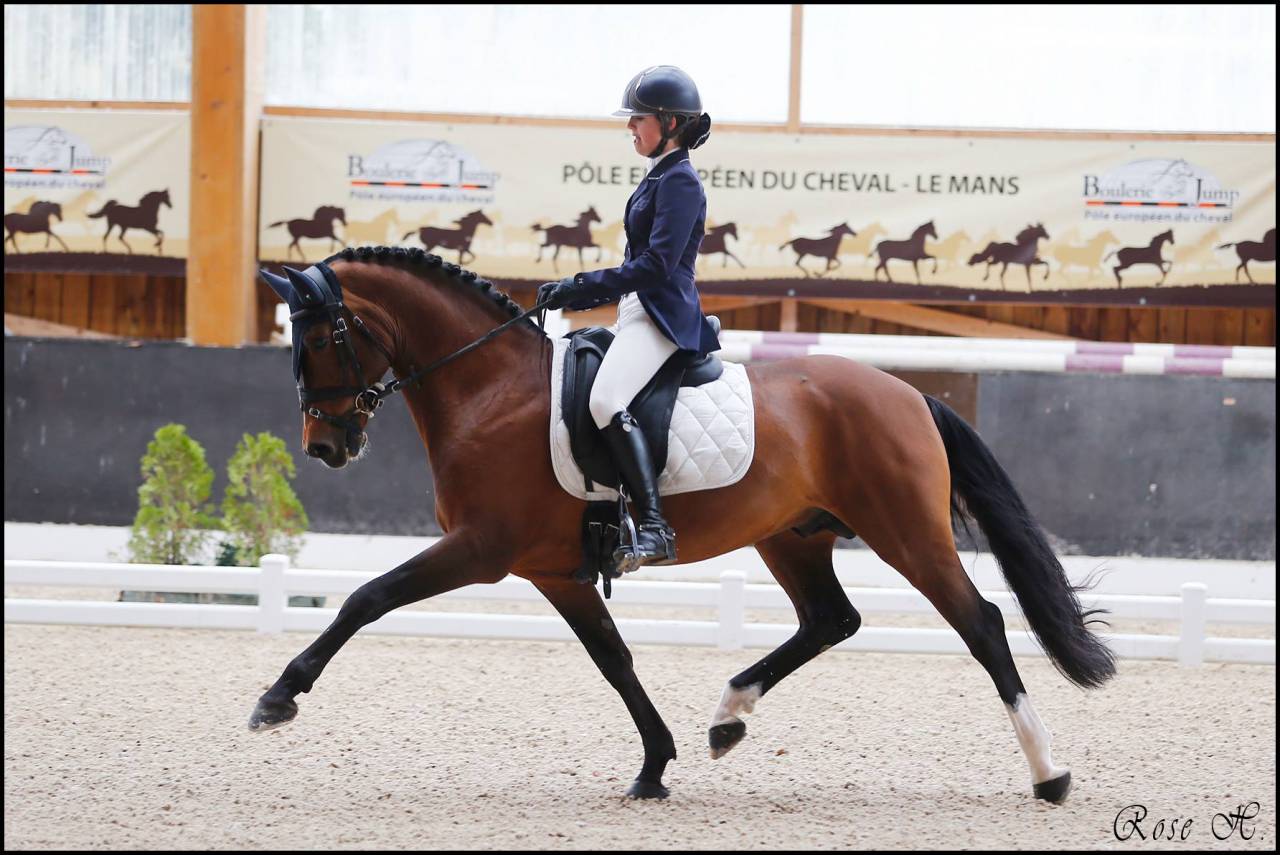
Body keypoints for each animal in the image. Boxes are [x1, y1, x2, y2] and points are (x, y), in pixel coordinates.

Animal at [247, 244, 1115, 805]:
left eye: (319, 335)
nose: (326, 445)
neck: (490, 388)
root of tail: (908, 393)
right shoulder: (554, 569)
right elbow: (615, 659)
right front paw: (654, 766)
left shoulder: (482, 549)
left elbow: (367, 596)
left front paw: (279, 697)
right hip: (792, 535)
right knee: (831, 618)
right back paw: (728, 717)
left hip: (906, 531)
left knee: (983, 623)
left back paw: (1049, 774)